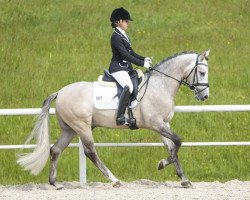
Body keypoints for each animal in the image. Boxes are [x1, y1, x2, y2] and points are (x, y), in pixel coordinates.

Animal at [16, 50, 210, 189]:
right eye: (201, 72)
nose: (205, 96)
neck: (160, 85)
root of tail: (60, 92)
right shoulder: (156, 124)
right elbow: (178, 141)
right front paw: (162, 164)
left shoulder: (163, 124)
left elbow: (172, 147)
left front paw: (183, 179)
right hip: (82, 126)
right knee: (90, 152)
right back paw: (114, 180)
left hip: (70, 129)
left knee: (56, 150)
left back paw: (55, 183)